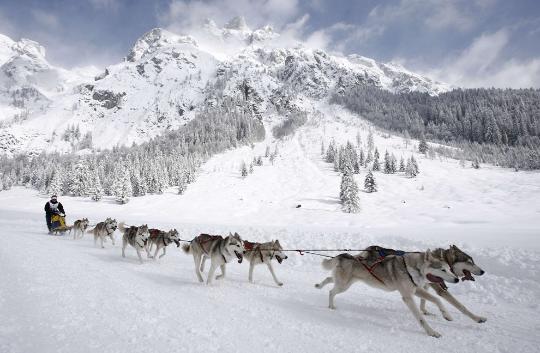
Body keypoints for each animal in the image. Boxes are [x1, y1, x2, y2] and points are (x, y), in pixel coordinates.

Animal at [316, 248, 460, 336]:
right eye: (442, 270)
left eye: (449, 269)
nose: (457, 279)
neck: (411, 268)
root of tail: (345, 256)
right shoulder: (408, 297)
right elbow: (421, 318)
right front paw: (432, 332)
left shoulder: (416, 290)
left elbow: (437, 299)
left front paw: (447, 315)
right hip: (343, 285)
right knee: (331, 291)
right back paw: (331, 306)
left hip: (345, 283)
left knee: (329, 279)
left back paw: (319, 285)